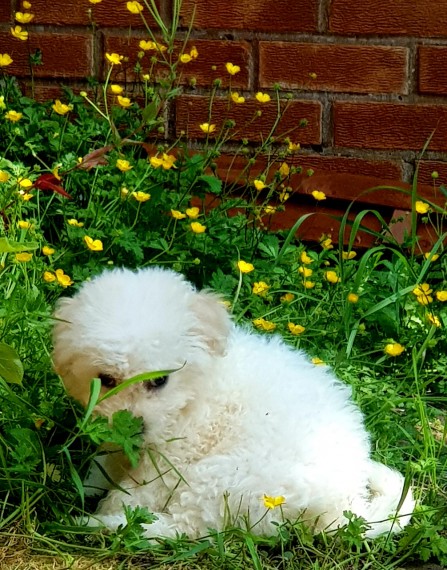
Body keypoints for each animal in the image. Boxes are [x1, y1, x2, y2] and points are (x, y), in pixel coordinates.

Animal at [50, 266, 414, 536]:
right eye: (107, 380)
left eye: (160, 380)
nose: (136, 427)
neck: (196, 391)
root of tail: (343, 505)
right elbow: (106, 462)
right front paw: (87, 483)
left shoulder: (176, 455)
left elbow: (139, 490)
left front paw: (108, 505)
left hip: (222, 478)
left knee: (184, 527)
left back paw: (97, 525)